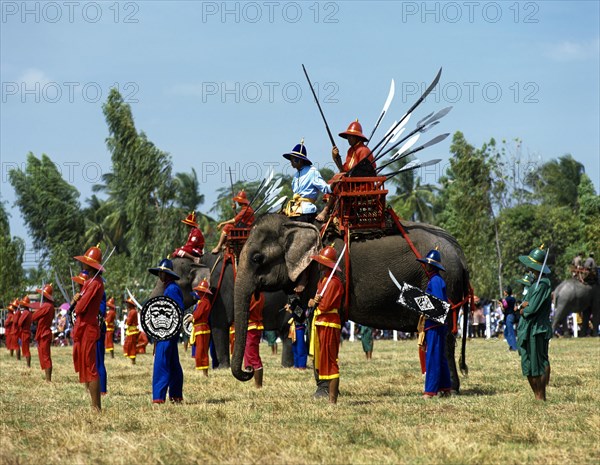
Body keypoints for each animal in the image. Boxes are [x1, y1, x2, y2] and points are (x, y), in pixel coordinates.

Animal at [232, 213, 472, 392]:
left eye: (257, 258)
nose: (249, 370)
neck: (298, 223)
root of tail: (460, 253)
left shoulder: (323, 273)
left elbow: (317, 320)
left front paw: (322, 391)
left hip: (447, 283)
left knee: (444, 334)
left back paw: (448, 390)